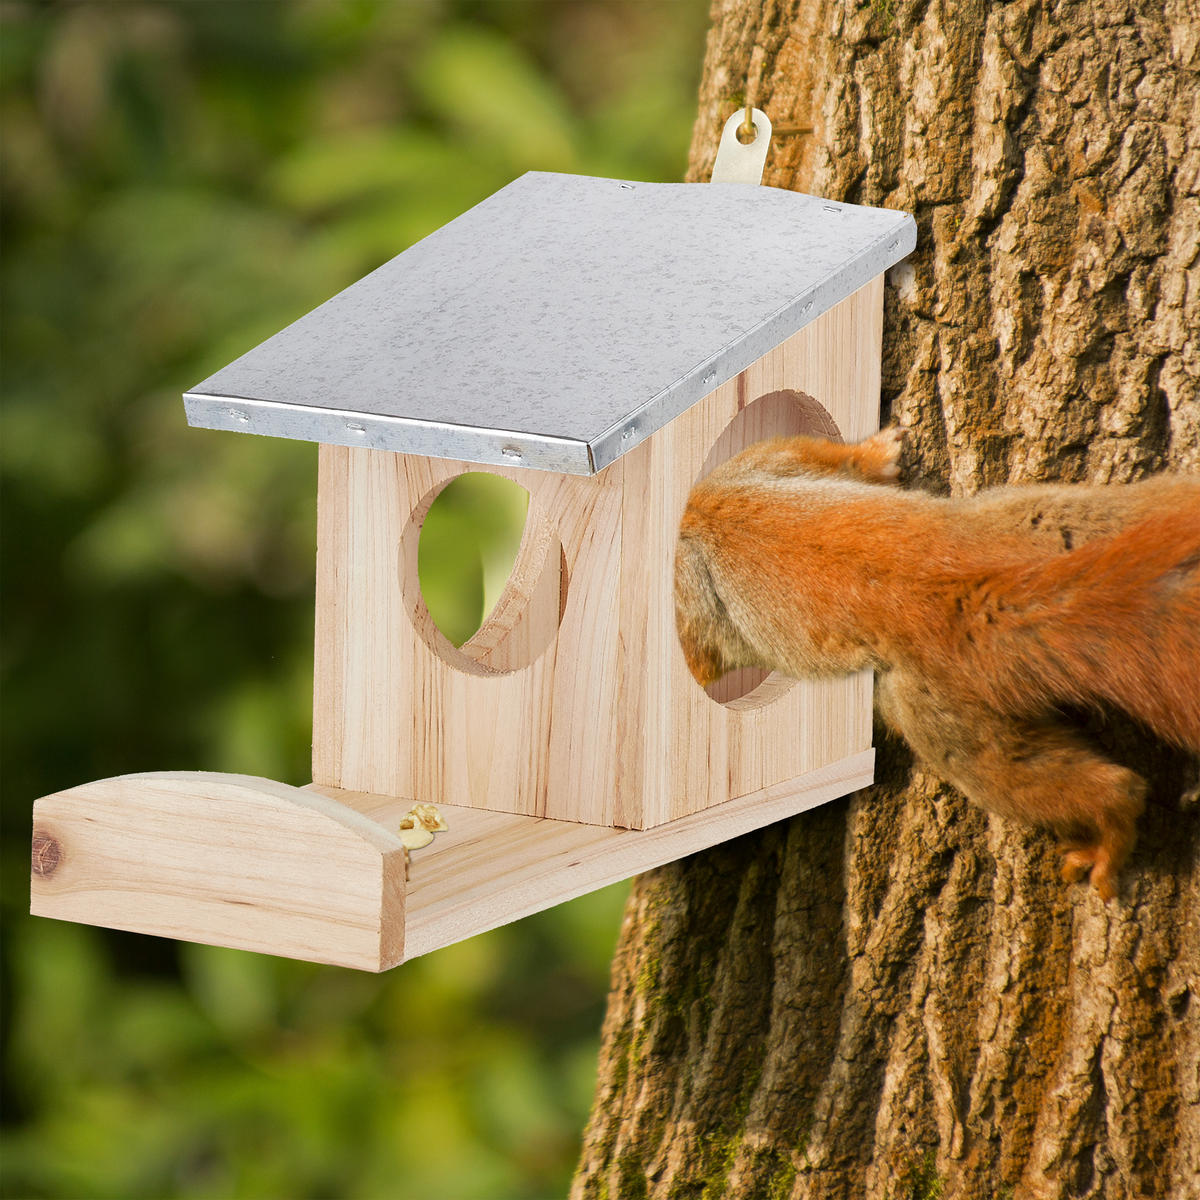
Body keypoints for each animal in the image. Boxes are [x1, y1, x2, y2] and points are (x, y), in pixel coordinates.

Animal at [675, 427, 1200, 901]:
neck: (696, 516)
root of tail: (967, 596)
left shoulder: (741, 477)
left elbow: (818, 453)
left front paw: (881, 448)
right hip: (1062, 522)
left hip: (931, 713)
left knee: (1086, 788)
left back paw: (1108, 839)